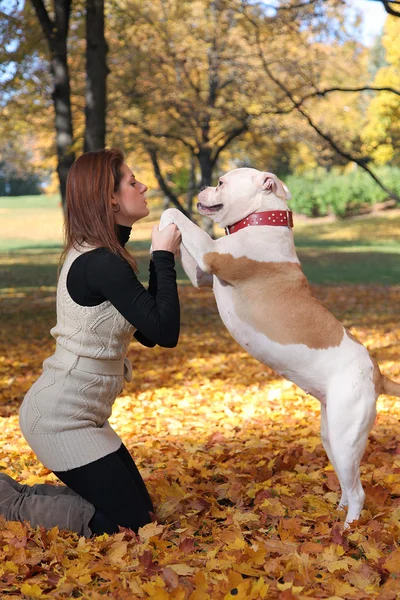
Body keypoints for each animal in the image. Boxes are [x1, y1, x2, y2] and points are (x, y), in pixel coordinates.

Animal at [157, 168, 400, 524]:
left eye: (221, 183)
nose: (201, 185)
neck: (261, 220)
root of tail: (377, 374)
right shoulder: (201, 272)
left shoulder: (209, 252)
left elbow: (177, 214)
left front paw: (163, 220)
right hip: (332, 436)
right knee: (347, 482)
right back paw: (336, 512)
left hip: (345, 436)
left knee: (359, 492)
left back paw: (348, 528)